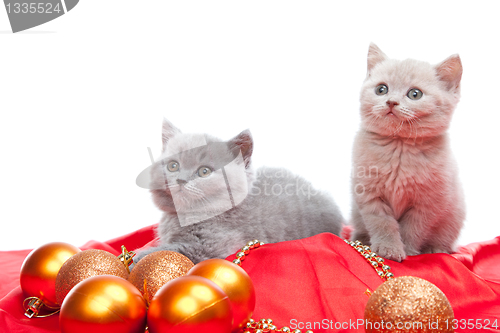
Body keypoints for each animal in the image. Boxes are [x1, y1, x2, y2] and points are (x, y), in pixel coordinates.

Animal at [135, 118, 346, 262]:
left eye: (204, 171)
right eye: (173, 166)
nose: (181, 180)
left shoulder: (208, 247)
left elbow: (167, 251)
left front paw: (136, 257)